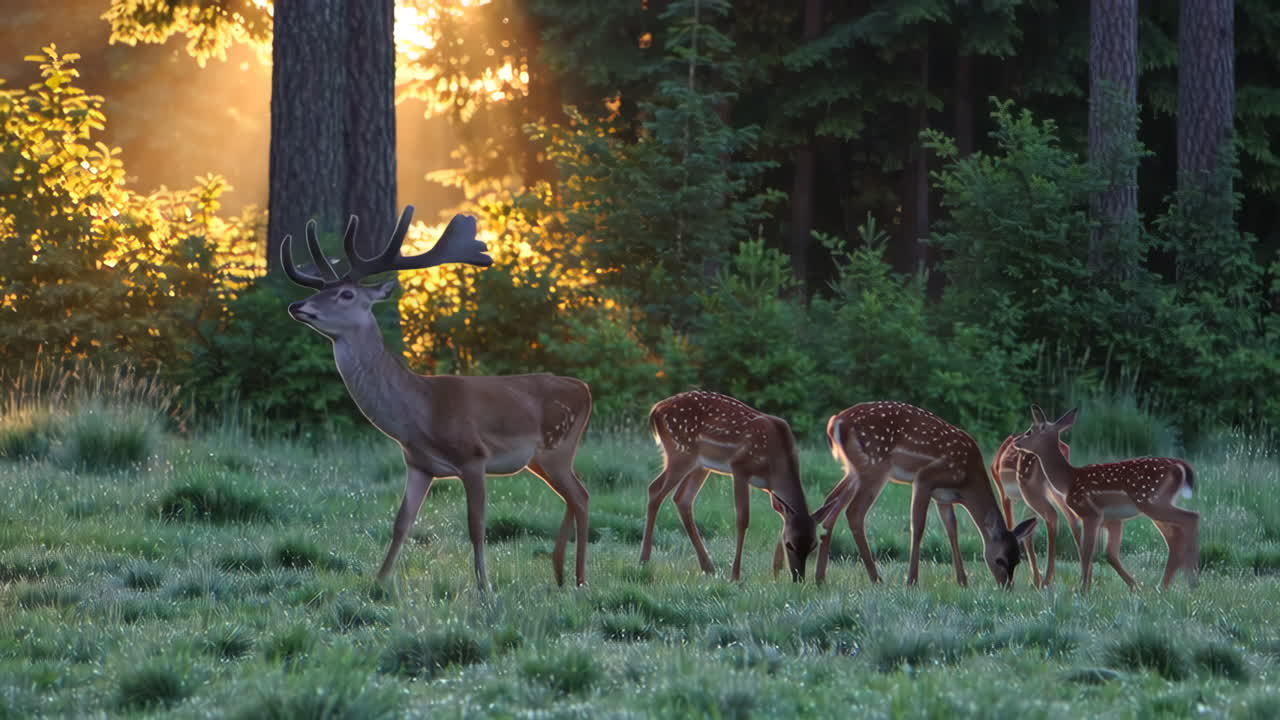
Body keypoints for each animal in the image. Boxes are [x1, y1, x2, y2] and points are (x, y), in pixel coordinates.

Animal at [280, 206, 593, 592]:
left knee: (580, 495)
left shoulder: (473, 456)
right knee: (573, 495)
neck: (420, 413)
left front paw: (484, 588)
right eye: (323, 288)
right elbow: (401, 522)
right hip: (540, 458)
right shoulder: (419, 464)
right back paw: (561, 573)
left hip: (557, 446)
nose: (297, 305)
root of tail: (585, 388)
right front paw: (379, 582)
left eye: (347, 295)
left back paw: (579, 578)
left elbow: (476, 527)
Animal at [639, 391, 818, 582]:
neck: (775, 470)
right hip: (681, 452)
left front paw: (776, 570)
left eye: (814, 545)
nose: (799, 577)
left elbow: (781, 518)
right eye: (790, 545)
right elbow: (743, 519)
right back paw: (644, 560)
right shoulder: (740, 468)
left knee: (682, 498)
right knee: (655, 489)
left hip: (701, 464)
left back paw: (708, 567)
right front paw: (735, 575)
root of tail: (656, 409)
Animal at [809, 401, 1038, 587]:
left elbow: (952, 529)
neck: (966, 482)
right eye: (1000, 559)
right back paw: (876, 579)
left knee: (830, 505)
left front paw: (962, 581)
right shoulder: (925, 479)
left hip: (854, 470)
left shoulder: (943, 497)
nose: (1007, 586)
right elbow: (918, 526)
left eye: (1018, 560)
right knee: (853, 512)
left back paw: (820, 578)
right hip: (875, 467)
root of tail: (836, 422)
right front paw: (912, 581)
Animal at [990, 433, 1081, 588]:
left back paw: (1047, 580)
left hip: (1031, 489)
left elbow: (1013, 527)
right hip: (1053, 490)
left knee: (1053, 515)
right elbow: (1028, 533)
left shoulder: (1004, 494)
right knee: (1073, 518)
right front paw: (1034, 579)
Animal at [1012, 406, 1199, 594]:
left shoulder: (1090, 513)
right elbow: (1108, 553)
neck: (1068, 480)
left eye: (1030, 431)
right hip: (1157, 504)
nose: (1016, 442)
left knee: (1191, 518)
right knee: (1176, 537)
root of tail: (1180, 466)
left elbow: (1087, 551)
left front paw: (1082, 590)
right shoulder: (1112, 519)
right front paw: (1131, 587)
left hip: (1151, 501)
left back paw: (1191, 583)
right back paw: (1166, 586)